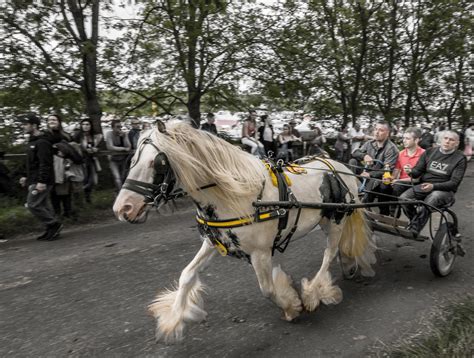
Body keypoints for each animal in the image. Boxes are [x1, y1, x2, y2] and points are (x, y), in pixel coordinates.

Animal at [113, 121, 376, 342]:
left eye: (157, 163)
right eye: (132, 160)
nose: (123, 208)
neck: (238, 195)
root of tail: (339, 165)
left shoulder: (261, 253)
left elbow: (267, 289)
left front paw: (291, 306)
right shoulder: (213, 243)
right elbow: (186, 275)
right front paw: (173, 319)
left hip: (337, 220)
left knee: (329, 253)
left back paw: (314, 293)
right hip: (324, 220)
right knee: (338, 249)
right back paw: (347, 266)